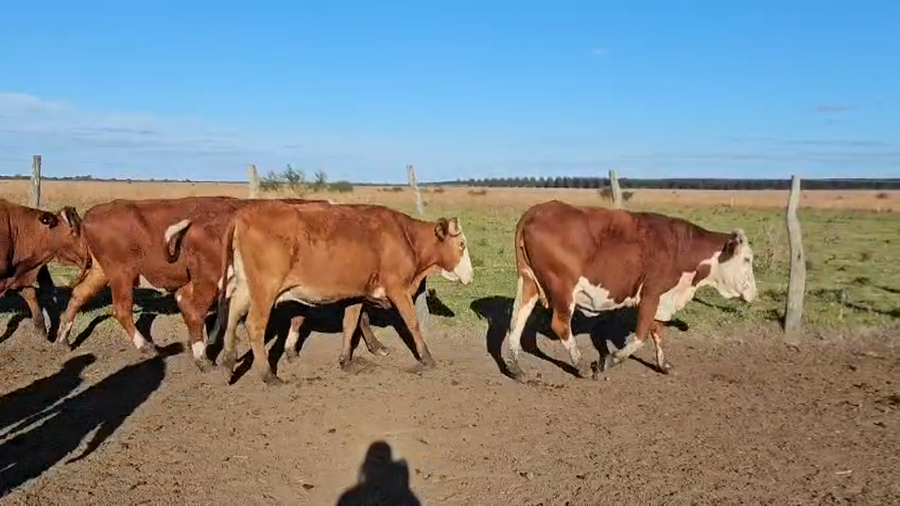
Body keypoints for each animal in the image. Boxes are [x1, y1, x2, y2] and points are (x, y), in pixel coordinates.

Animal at [209, 200, 474, 385]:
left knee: (233, 313)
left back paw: (228, 363)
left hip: (246, 285)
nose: (470, 276)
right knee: (254, 324)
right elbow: (412, 323)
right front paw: (427, 358)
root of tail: (243, 215)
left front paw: (346, 360)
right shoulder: (397, 289)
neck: (405, 237)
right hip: (265, 289)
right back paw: (268, 375)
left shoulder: (357, 295)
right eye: (461, 245)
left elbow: (351, 324)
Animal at [504, 200, 757, 381]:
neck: (679, 248)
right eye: (747, 259)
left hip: (529, 282)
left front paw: (664, 365)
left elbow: (658, 332)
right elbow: (641, 336)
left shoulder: (662, 299)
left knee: (517, 321)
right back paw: (581, 366)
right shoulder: (651, 295)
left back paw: (518, 369)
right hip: (562, 287)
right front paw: (608, 361)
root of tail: (537, 210)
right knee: (560, 324)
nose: (754, 293)